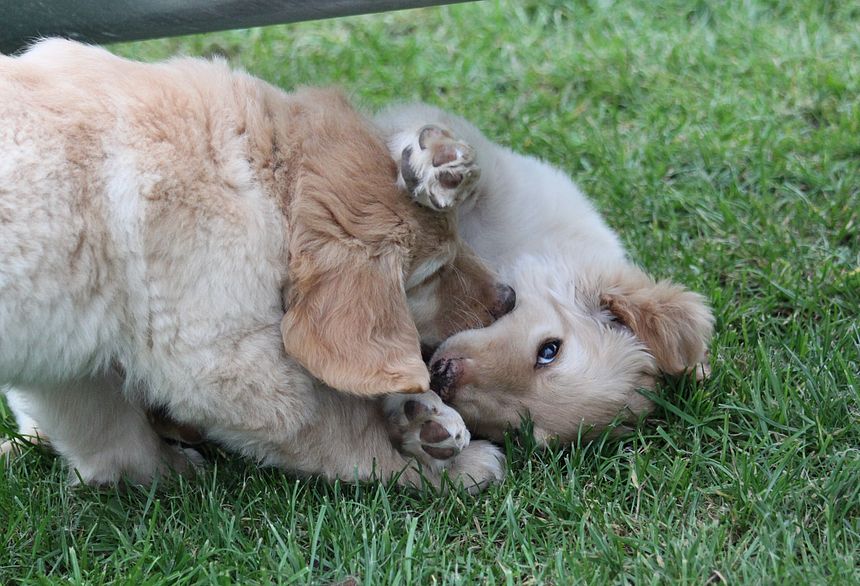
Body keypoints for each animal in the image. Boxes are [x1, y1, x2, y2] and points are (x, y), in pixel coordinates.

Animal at [0, 40, 514, 489]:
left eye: (458, 239)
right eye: (432, 274)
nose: (509, 299)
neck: (257, 170)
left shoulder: (65, 364)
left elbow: (107, 441)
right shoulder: (224, 361)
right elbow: (343, 434)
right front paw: (445, 469)